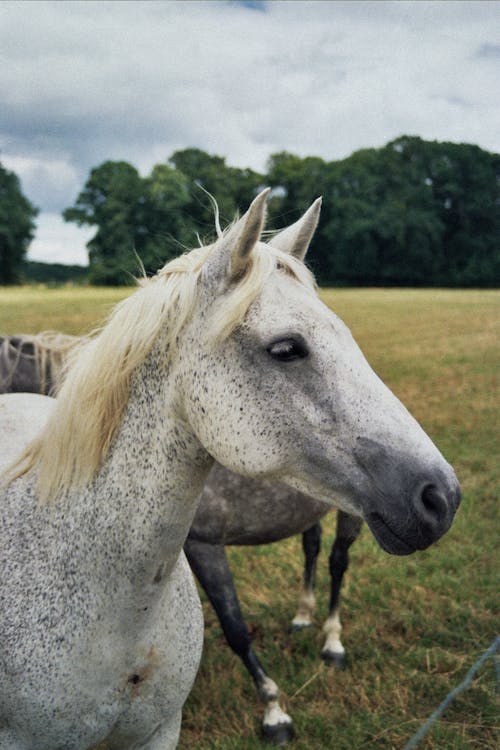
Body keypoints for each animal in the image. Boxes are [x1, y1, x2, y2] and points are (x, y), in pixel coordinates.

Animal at [0, 334, 362, 748]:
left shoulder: (205, 546)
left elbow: (235, 629)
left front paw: (273, 711)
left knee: (337, 562)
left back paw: (332, 643)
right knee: (312, 548)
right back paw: (302, 616)